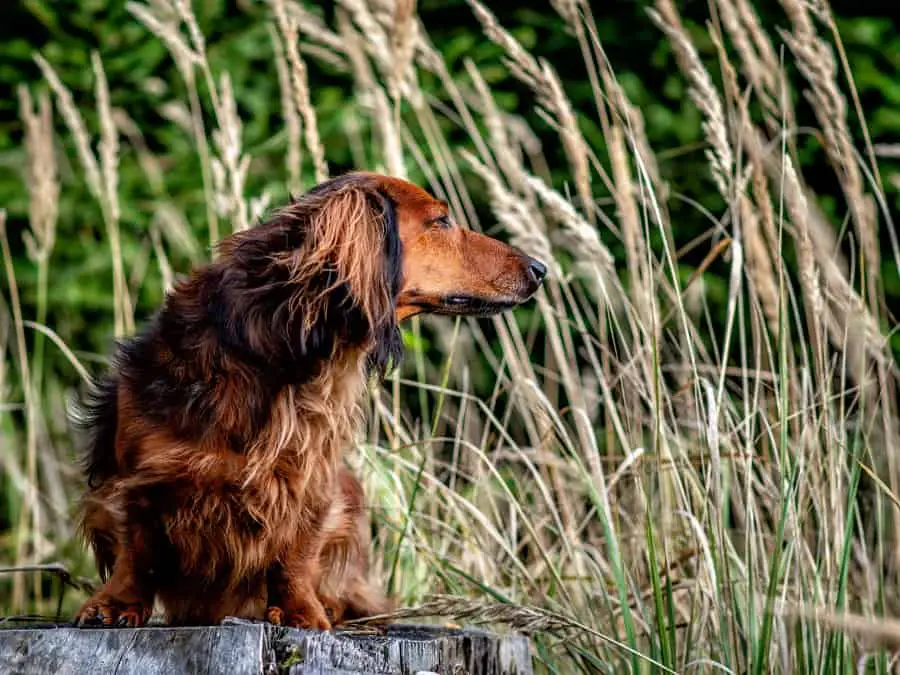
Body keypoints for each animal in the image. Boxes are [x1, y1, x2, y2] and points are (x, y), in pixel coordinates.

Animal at [74, 172, 544, 632]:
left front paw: (302, 612)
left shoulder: (313, 479)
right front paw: (115, 604)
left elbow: (295, 555)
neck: (279, 350)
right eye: (441, 221)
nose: (540, 269)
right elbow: (136, 553)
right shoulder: (136, 483)